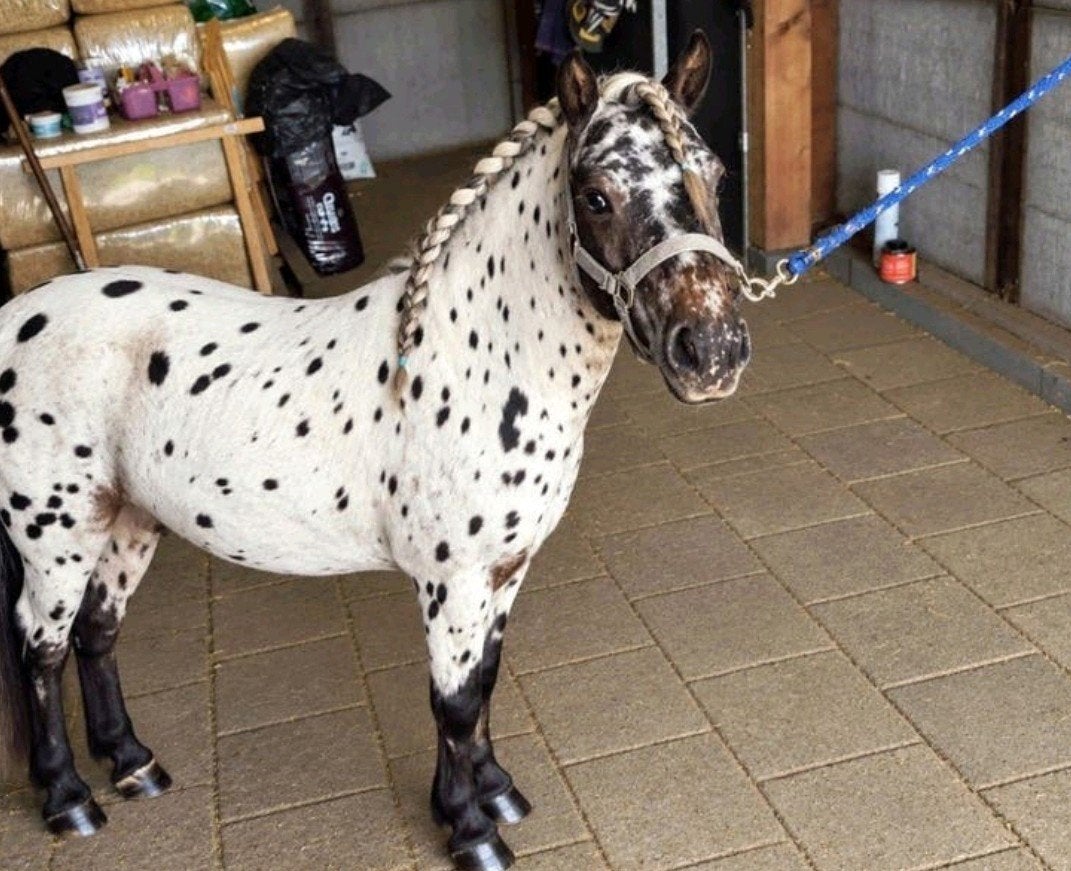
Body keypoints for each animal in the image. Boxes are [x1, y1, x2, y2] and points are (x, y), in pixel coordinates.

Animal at [0, 34, 750, 871]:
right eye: (593, 196)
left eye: (715, 174)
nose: (711, 351)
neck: (476, 357)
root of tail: (16, 316)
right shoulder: (452, 581)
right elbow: (453, 701)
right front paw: (470, 829)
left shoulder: (504, 570)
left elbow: (485, 682)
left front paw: (494, 791)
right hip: (55, 537)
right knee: (40, 648)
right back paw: (69, 799)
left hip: (126, 520)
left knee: (95, 633)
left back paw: (133, 763)